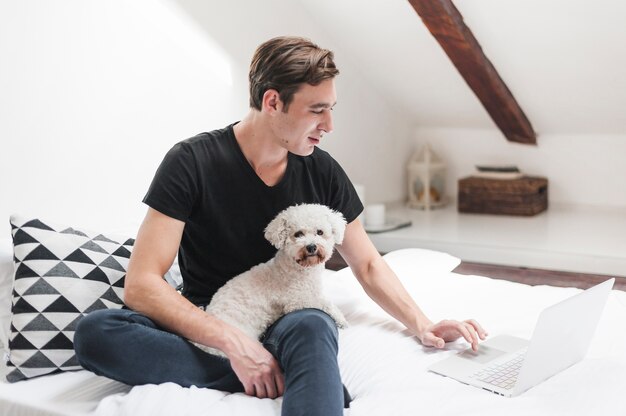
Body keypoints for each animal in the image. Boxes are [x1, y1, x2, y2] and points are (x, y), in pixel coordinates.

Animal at [195, 203, 348, 356]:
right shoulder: (296, 301)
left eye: (320, 232)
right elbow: (324, 303)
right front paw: (341, 318)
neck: (299, 268)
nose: (311, 247)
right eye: (298, 234)